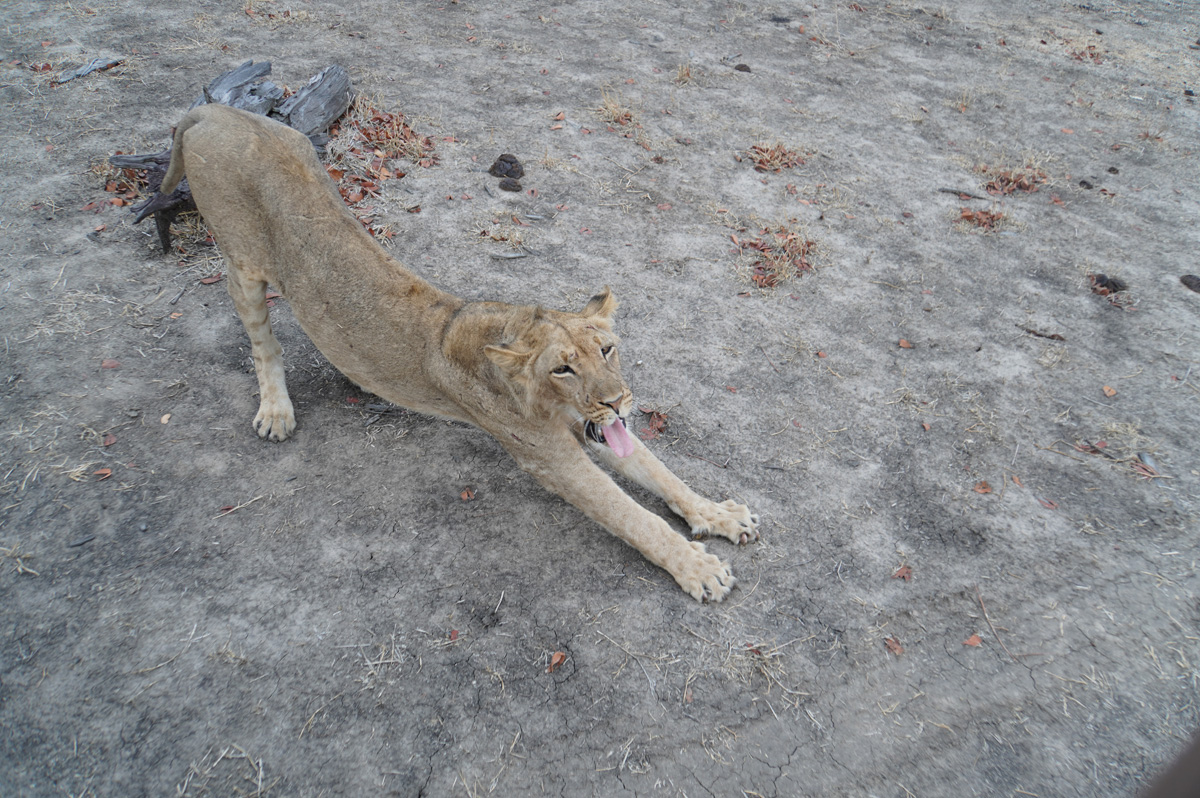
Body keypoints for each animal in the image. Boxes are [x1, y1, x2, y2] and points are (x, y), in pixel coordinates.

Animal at [158, 104, 758, 601]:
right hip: (241, 265)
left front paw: (721, 515)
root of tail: (219, 109)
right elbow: (634, 517)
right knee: (265, 343)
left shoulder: (595, 431)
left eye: (608, 350)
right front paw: (699, 568)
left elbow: (663, 475)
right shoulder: (552, 459)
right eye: (563, 369)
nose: (616, 402)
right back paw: (276, 411)